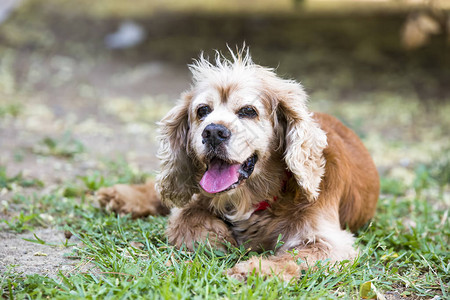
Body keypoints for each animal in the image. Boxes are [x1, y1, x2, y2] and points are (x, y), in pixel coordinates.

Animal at [96, 49, 378, 282]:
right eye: (202, 111)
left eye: (248, 111)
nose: (213, 132)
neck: (255, 199)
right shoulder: (197, 201)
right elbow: (185, 218)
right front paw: (219, 237)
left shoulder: (331, 242)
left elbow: (295, 256)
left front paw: (257, 270)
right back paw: (120, 195)